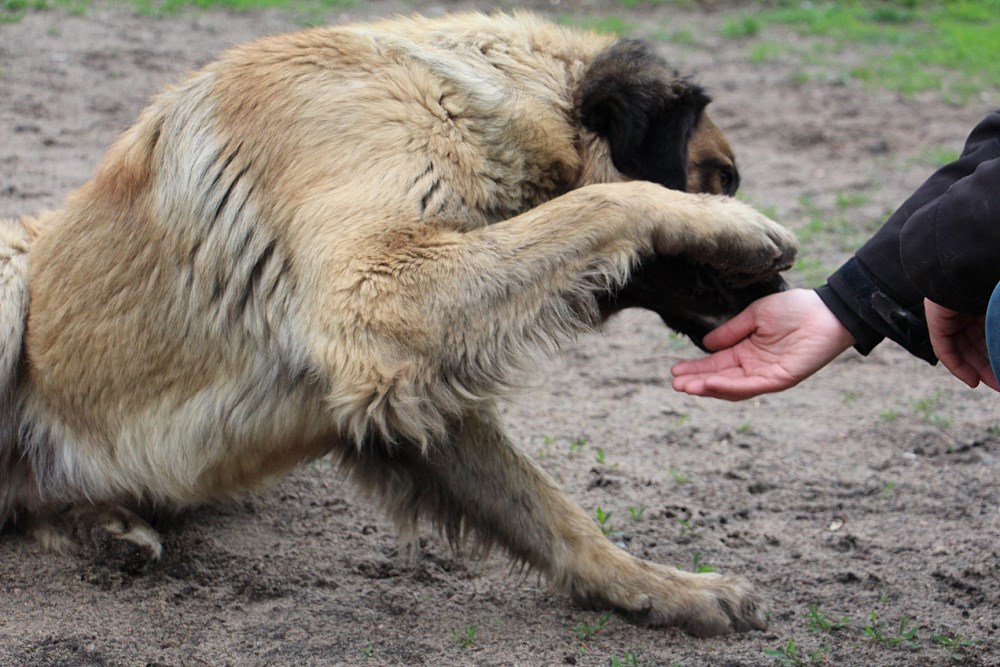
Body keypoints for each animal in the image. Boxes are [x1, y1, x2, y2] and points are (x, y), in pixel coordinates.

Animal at [0, 12, 796, 636]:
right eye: (721, 177)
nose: (786, 294)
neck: (466, 106)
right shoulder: (379, 297)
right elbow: (602, 202)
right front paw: (730, 224)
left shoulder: (415, 380)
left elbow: (548, 509)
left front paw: (663, 589)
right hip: (10, 267)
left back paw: (102, 524)